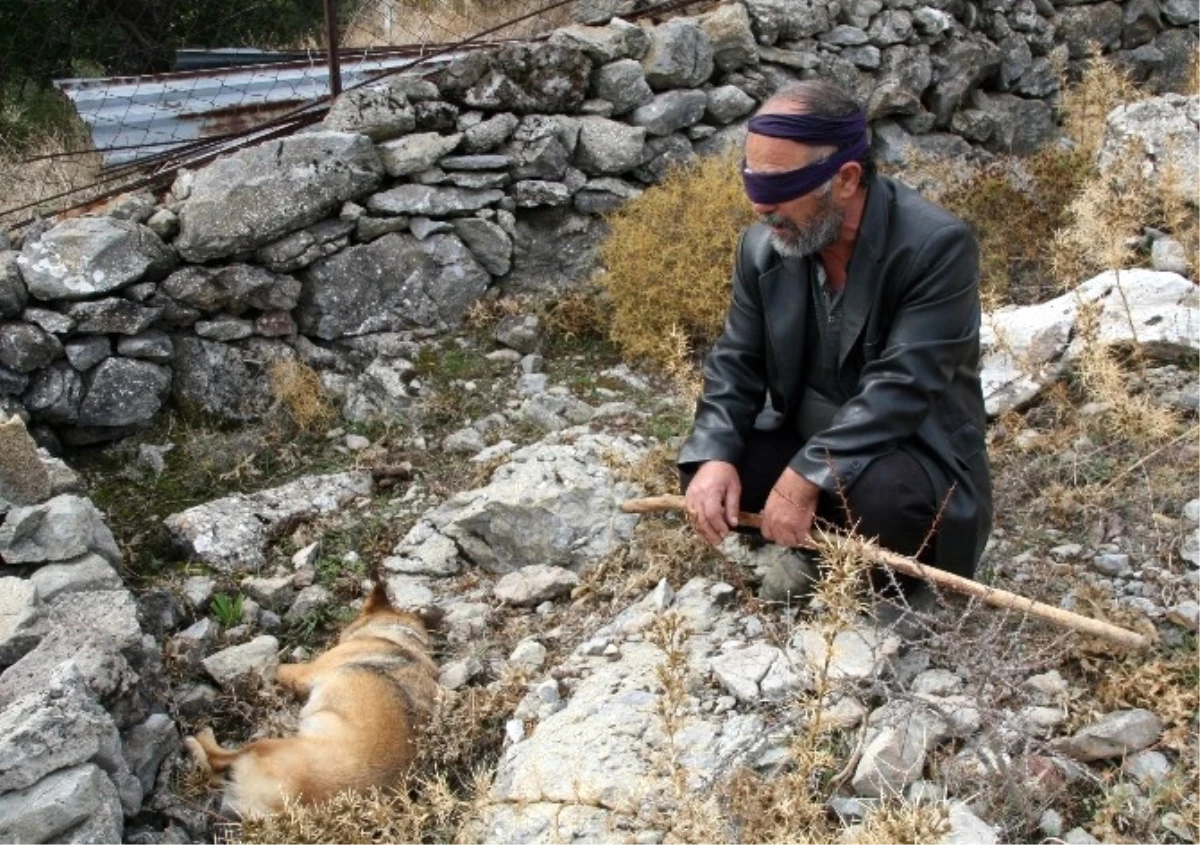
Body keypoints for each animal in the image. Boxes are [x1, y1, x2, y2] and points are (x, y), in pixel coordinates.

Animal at [189, 583, 444, 816]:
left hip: (266, 745)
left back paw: (198, 739)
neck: (398, 638)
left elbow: (276, 666)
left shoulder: (302, 673)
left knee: (217, 760)